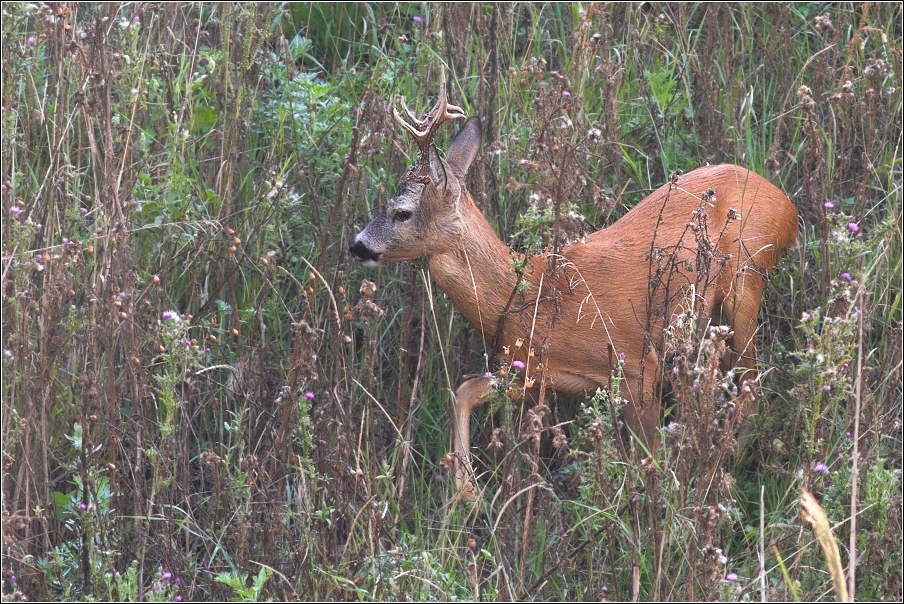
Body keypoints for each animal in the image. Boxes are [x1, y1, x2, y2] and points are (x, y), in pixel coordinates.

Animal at [350, 75, 796, 498]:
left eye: (402, 212)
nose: (357, 246)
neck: (533, 296)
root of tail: (786, 204)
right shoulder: (531, 373)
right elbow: (464, 390)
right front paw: (467, 494)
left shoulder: (637, 361)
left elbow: (648, 454)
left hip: (747, 280)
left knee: (753, 380)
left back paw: (730, 460)